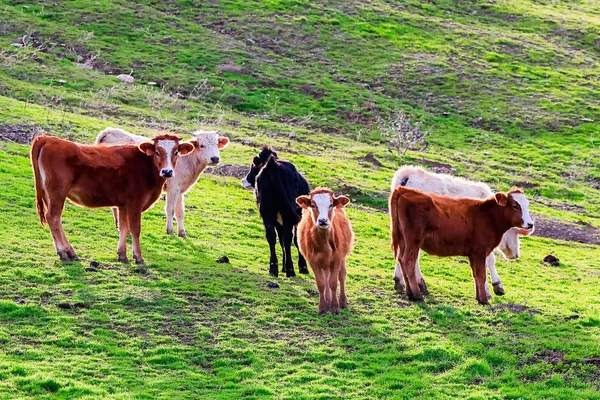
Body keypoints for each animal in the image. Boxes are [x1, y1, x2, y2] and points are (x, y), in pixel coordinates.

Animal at [29, 134, 193, 264]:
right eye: (157, 152)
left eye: (176, 152)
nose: (167, 172)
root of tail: (47, 139)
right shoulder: (135, 203)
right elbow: (135, 229)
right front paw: (138, 257)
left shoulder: (123, 205)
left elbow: (124, 228)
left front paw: (122, 255)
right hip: (57, 193)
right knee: (54, 217)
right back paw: (65, 252)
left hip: (49, 195)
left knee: (55, 220)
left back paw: (68, 252)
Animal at [243, 147, 312, 278]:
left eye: (253, 166)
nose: (244, 180)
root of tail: (272, 166)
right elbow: (294, 240)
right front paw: (302, 267)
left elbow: (281, 240)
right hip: (286, 214)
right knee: (288, 237)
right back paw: (290, 270)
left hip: (267, 212)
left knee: (271, 237)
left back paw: (273, 268)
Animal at [296, 188, 354, 316]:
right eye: (313, 205)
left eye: (331, 205)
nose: (323, 220)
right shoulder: (312, 260)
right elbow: (321, 283)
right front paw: (323, 307)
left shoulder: (337, 259)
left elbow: (333, 282)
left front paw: (335, 307)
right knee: (326, 277)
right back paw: (328, 300)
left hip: (341, 259)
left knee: (341, 276)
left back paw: (342, 301)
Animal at [390, 165, 536, 296]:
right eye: (516, 231)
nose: (515, 255)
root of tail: (408, 174)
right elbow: (488, 261)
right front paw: (494, 287)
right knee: (412, 257)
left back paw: (402, 282)